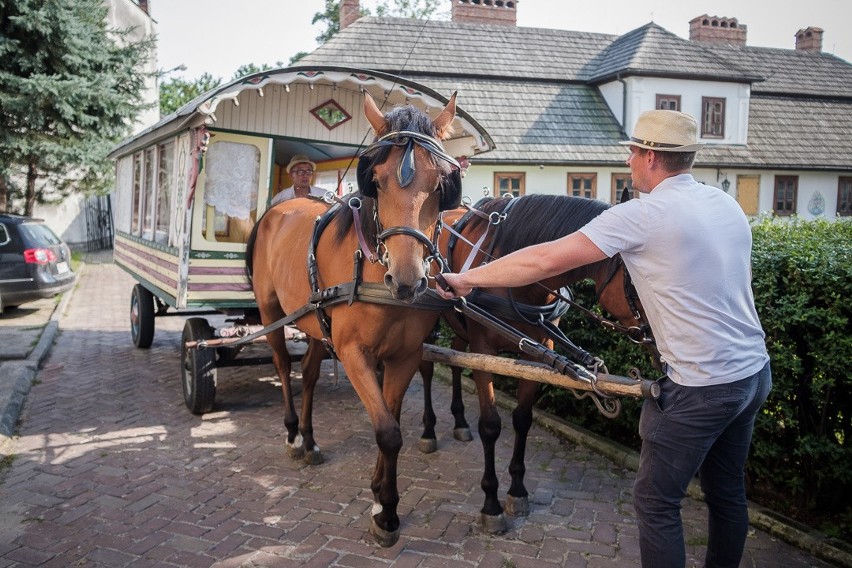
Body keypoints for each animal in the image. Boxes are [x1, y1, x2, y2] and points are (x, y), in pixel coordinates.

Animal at [243, 92, 462, 544]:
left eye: (441, 185)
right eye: (374, 179)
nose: (407, 280)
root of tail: (277, 209)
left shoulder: (404, 355)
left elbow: (390, 422)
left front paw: (382, 497)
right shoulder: (353, 352)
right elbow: (387, 430)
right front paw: (386, 512)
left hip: (313, 319)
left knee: (309, 372)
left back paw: (310, 440)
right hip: (272, 311)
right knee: (282, 364)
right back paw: (293, 434)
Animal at [420, 194, 660, 532]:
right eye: (641, 274)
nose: (663, 348)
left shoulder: (538, 350)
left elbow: (522, 419)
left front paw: (517, 492)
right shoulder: (484, 349)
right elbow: (491, 425)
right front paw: (491, 504)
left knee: (454, 360)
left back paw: (460, 423)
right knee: (426, 367)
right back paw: (428, 432)